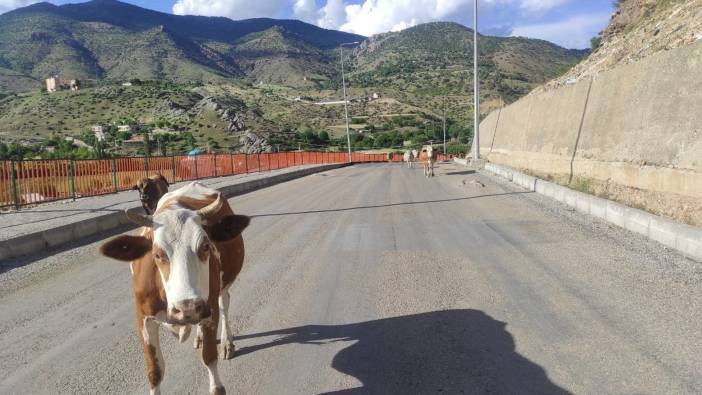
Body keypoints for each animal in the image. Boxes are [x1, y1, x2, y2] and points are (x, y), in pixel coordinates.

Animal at [100, 183, 252, 395]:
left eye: (206, 246)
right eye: (157, 254)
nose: (188, 308)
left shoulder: (209, 309)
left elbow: (210, 359)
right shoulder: (143, 319)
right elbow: (154, 373)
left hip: (220, 288)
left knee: (225, 304)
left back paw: (226, 343)